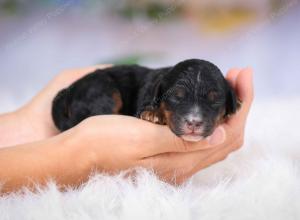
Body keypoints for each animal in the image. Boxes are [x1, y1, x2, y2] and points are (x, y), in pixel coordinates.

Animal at [51, 58, 239, 141]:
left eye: (214, 100)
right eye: (176, 97)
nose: (194, 122)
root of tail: (67, 91)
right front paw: (153, 114)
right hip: (102, 91)